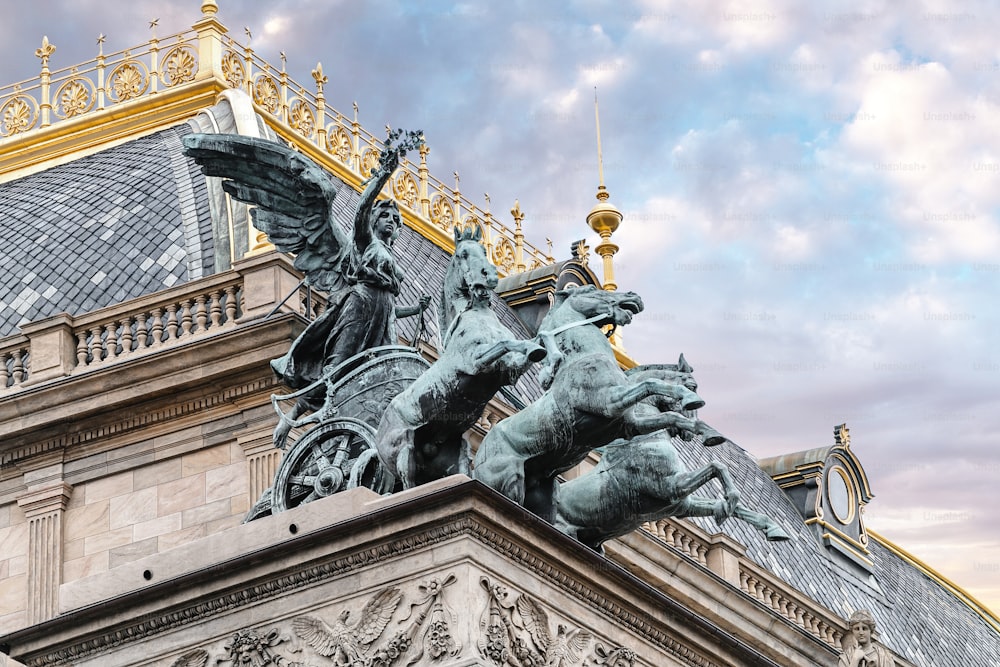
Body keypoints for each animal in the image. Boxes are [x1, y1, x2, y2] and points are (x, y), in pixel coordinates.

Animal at [376, 228, 548, 490]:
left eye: (484, 251)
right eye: (462, 254)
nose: (490, 275)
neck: (478, 313)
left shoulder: (508, 371)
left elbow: (525, 344)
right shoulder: (475, 363)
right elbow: (504, 343)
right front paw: (535, 349)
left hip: (455, 456)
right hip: (403, 453)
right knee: (407, 484)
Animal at [472, 286, 724, 520]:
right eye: (592, 290)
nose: (634, 296)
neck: (583, 358)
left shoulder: (628, 424)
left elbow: (669, 414)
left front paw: (709, 433)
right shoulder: (611, 402)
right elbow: (651, 383)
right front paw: (691, 401)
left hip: (543, 493)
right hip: (506, 481)